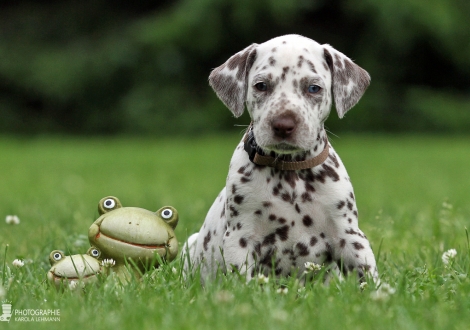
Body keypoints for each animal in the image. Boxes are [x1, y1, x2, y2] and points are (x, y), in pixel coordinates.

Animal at [184, 35, 378, 284]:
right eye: (261, 86)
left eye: (313, 88)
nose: (283, 125)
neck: (290, 169)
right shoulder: (240, 238)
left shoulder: (349, 235)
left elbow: (368, 276)